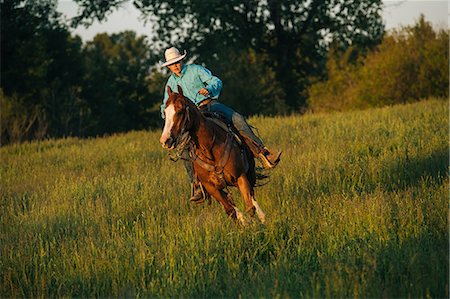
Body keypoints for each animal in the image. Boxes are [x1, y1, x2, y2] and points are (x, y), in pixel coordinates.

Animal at [159, 85, 268, 225]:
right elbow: (230, 210)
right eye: (165, 112)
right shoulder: (212, 188)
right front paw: (243, 224)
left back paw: (262, 217)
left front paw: (255, 225)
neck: (209, 148)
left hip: (249, 173)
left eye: (180, 111)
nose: (165, 140)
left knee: (253, 195)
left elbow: (249, 206)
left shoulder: (240, 177)